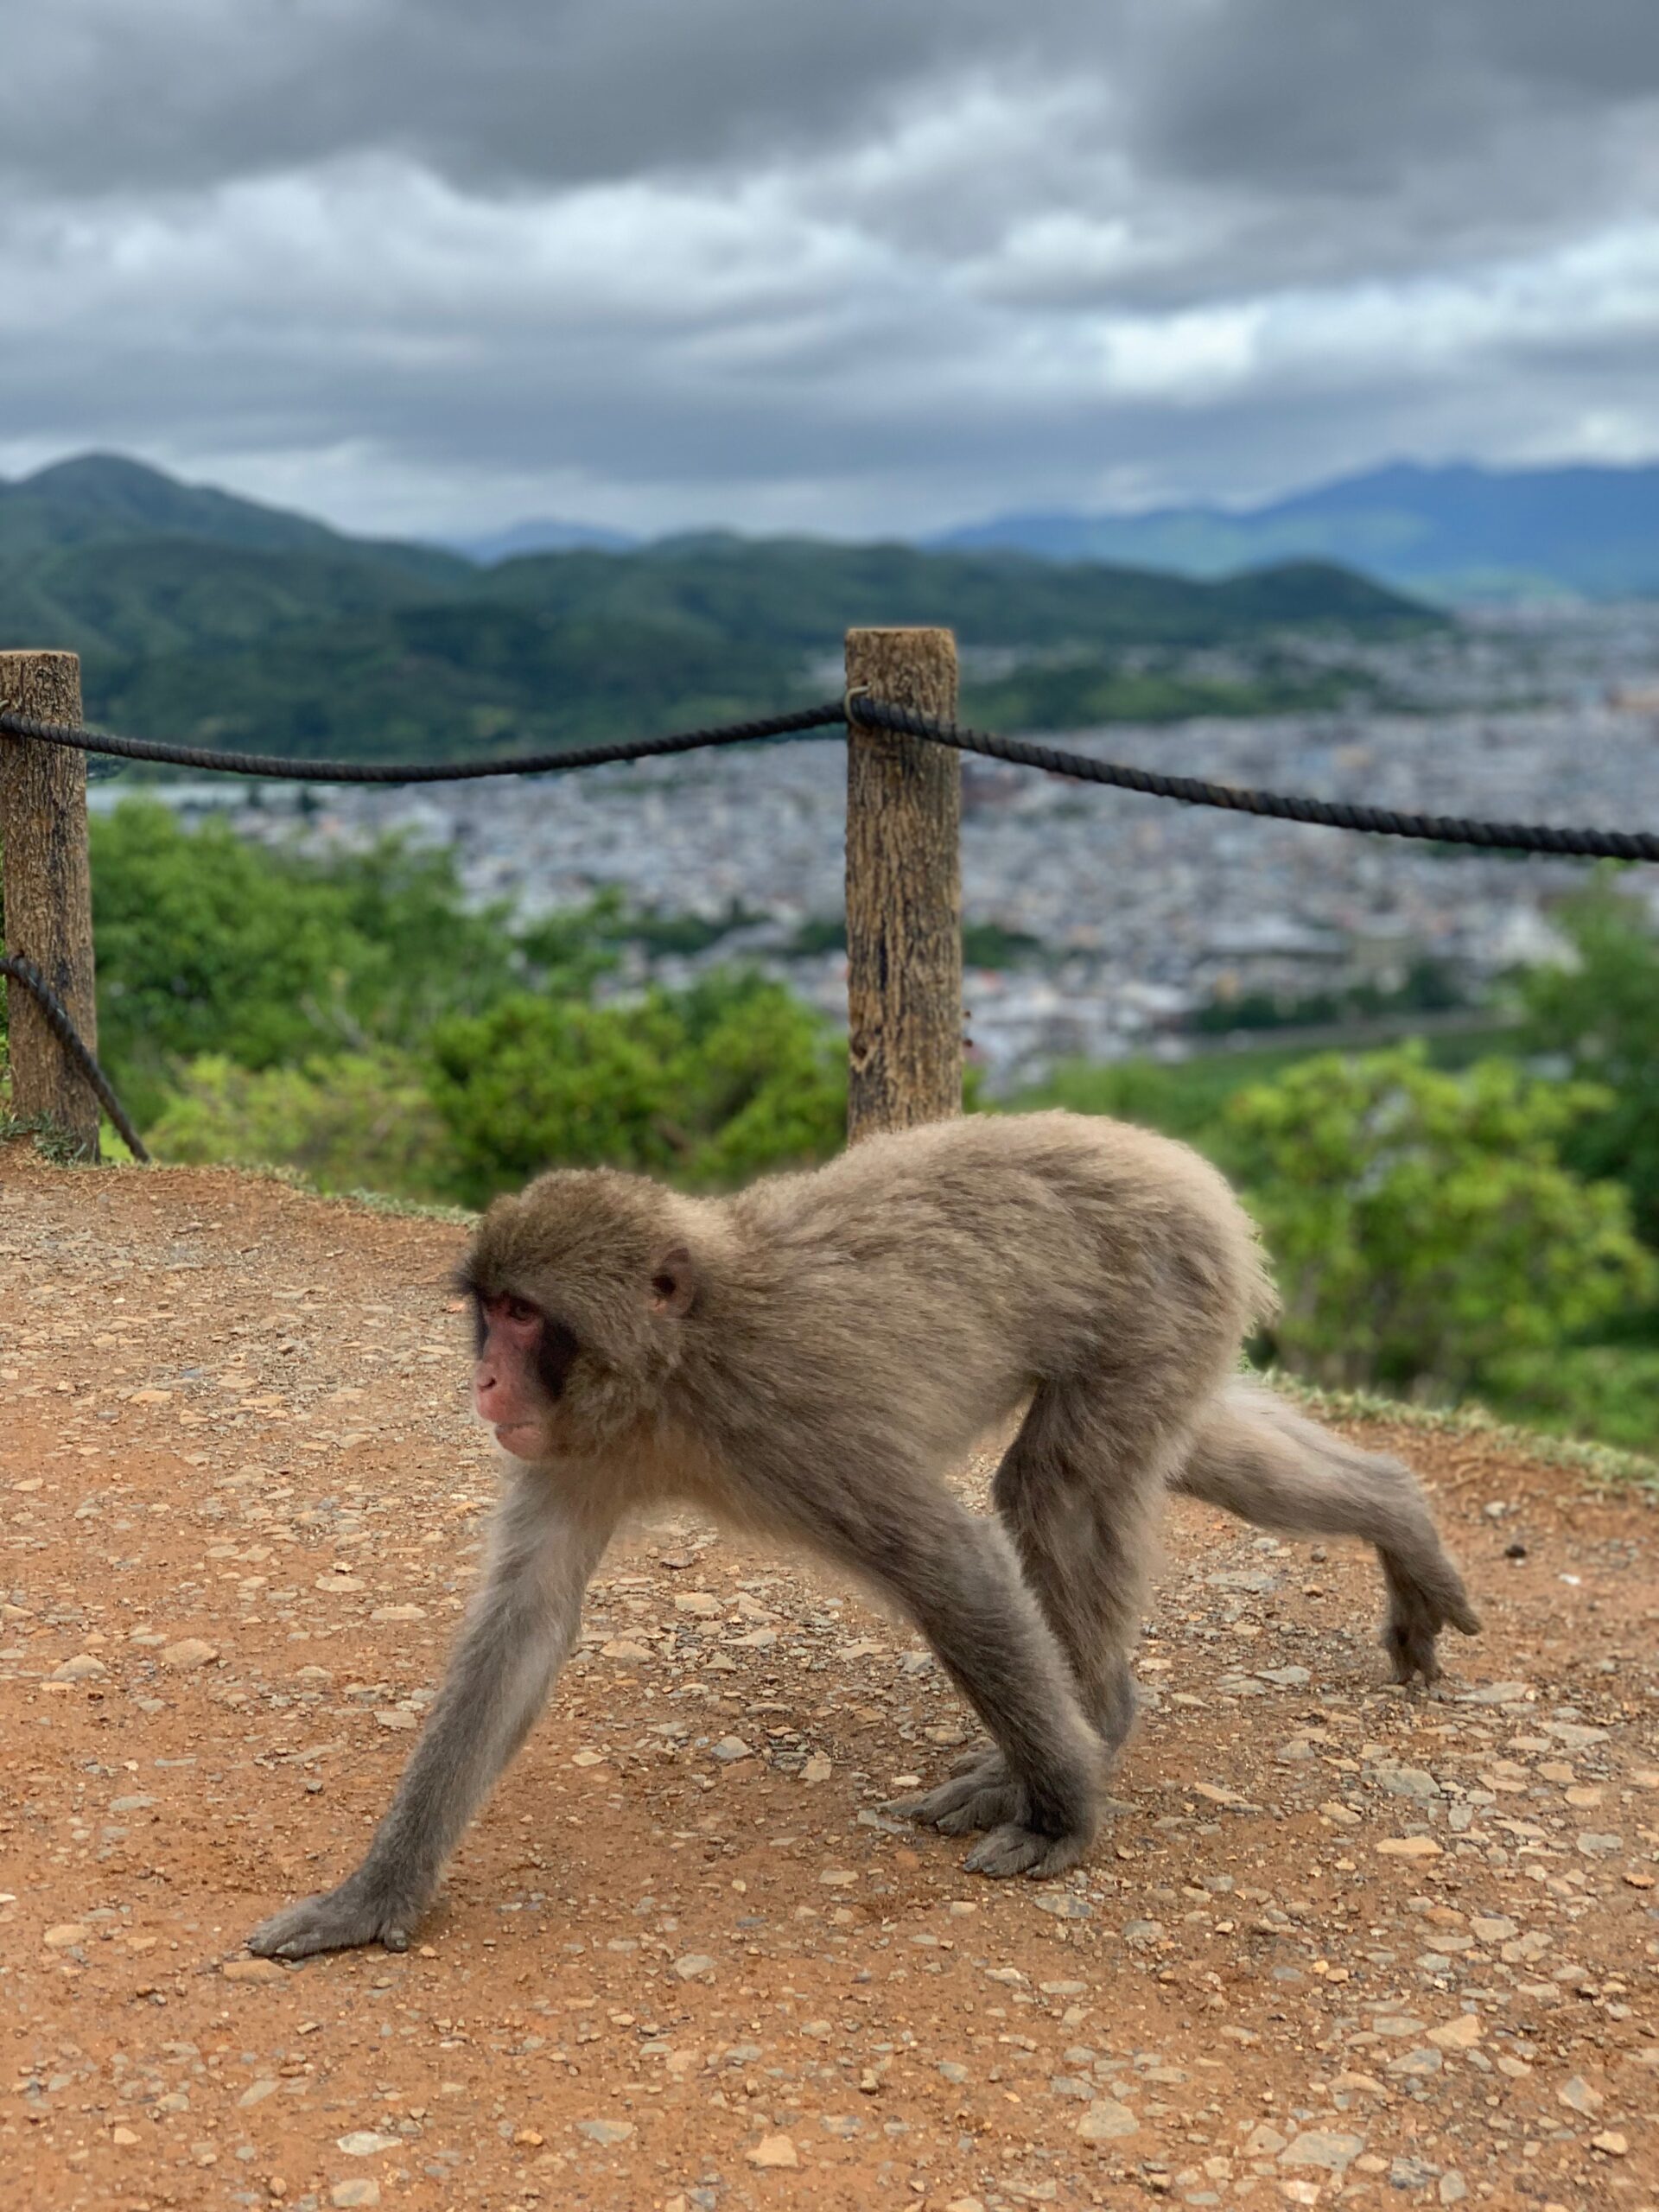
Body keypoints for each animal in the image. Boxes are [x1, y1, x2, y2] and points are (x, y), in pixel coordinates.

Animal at [248, 1110, 1478, 1959]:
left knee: (1056, 1484)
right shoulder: (576, 1452)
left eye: (525, 1316)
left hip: (1160, 1291)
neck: (674, 1374)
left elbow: (953, 1567)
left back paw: (1081, 1738)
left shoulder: (792, 1420)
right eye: (490, 1310)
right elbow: (523, 1628)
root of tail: (1171, 1159)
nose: (487, 1379)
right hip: (1178, 1319)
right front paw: (375, 1894)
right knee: (1181, 1444)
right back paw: (1396, 1516)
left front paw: (1066, 1816)